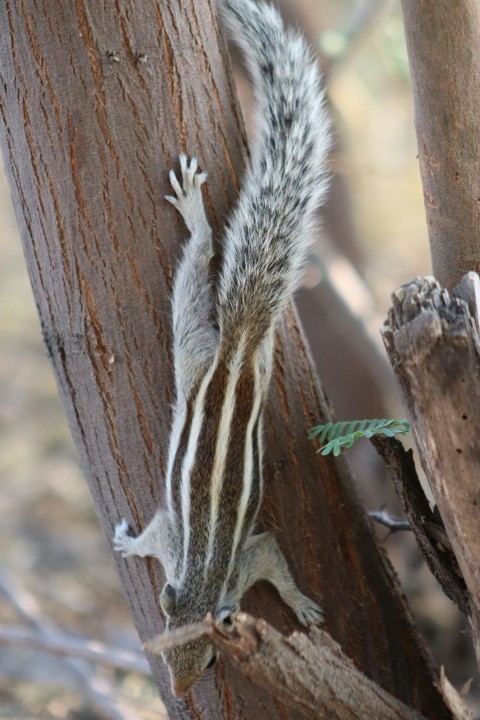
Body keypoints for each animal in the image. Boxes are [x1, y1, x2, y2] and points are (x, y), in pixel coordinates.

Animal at [114, 0, 330, 697]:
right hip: (214, 352)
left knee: (204, 267)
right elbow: (153, 536)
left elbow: (275, 563)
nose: (183, 692)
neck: (206, 579)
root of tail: (237, 346)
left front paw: (301, 604)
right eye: (162, 647)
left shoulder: (247, 557)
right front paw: (128, 547)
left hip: (206, 354)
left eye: (209, 658)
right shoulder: (176, 543)